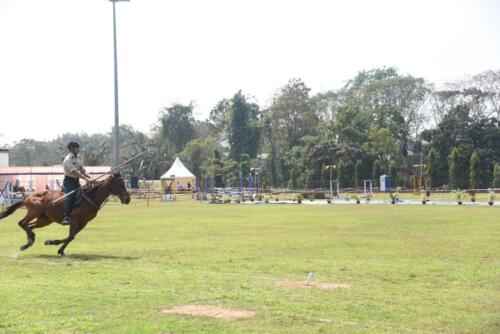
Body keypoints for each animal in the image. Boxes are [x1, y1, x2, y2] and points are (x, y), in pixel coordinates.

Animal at [0, 172, 131, 256]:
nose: (127, 199)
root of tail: (28, 196)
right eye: (120, 184)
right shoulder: (74, 221)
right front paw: (54, 245)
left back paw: (28, 242)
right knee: (22, 223)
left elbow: (71, 237)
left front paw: (57, 247)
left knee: (29, 226)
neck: (90, 197)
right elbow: (71, 236)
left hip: (45, 220)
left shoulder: (83, 223)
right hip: (34, 211)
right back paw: (30, 240)